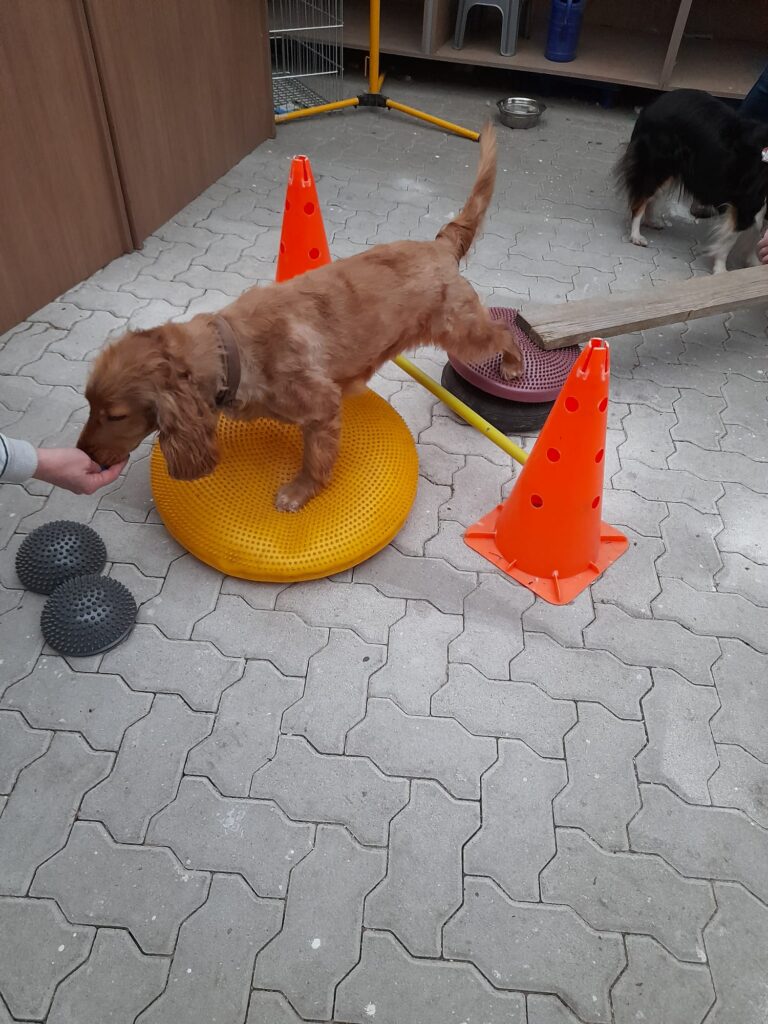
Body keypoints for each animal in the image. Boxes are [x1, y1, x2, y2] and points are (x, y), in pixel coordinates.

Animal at [77, 123, 523, 511]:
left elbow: (315, 459)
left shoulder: (322, 408)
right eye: (88, 404)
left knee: (505, 330)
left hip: (463, 331)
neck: (234, 349)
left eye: (115, 415)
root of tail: (439, 246)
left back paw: (515, 364)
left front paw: (299, 491)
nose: (84, 454)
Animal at [615, 88, 768, 272]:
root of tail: (654, 103)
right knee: (642, 197)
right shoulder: (746, 202)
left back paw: (652, 221)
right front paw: (721, 270)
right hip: (657, 164)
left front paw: (754, 264)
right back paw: (636, 235)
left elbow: (755, 236)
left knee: (653, 196)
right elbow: (731, 239)